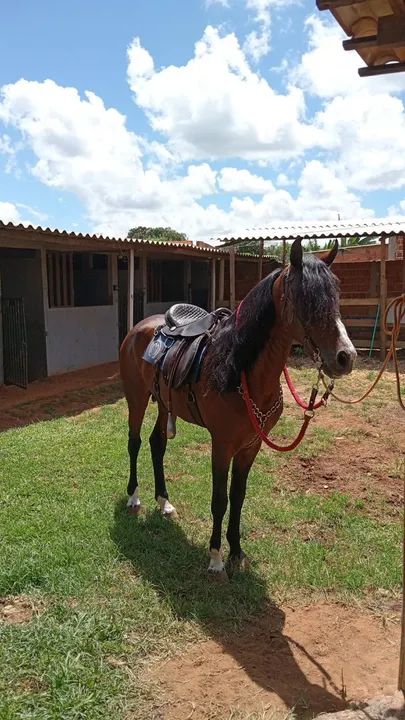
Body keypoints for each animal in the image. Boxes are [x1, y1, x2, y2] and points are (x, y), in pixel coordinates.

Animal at [119, 238, 357, 580]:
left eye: (335, 294)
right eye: (304, 298)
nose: (345, 357)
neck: (238, 369)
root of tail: (139, 328)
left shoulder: (251, 445)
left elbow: (238, 496)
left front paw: (236, 551)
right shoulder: (222, 444)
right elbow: (219, 499)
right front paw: (216, 558)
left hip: (163, 404)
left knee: (157, 444)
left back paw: (164, 502)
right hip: (136, 399)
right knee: (135, 443)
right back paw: (134, 496)